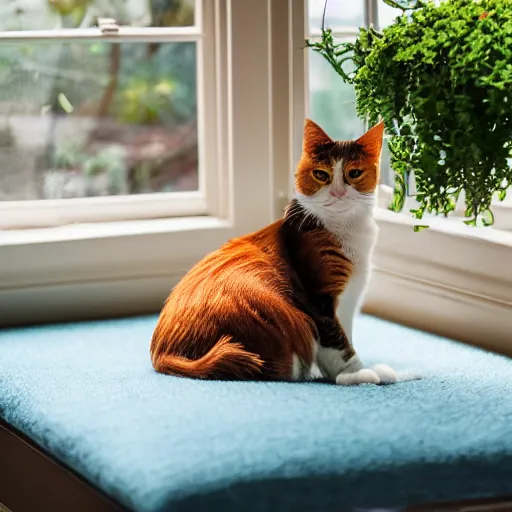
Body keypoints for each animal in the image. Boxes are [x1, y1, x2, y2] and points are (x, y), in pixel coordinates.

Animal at [150, 119, 398, 384]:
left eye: (354, 173)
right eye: (322, 175)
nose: (338, 192)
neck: (346, 228)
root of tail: (165, 354)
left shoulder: (349, 298)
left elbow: (346, 335)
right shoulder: (318, 301)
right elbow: (338, 344)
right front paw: (356, 374)